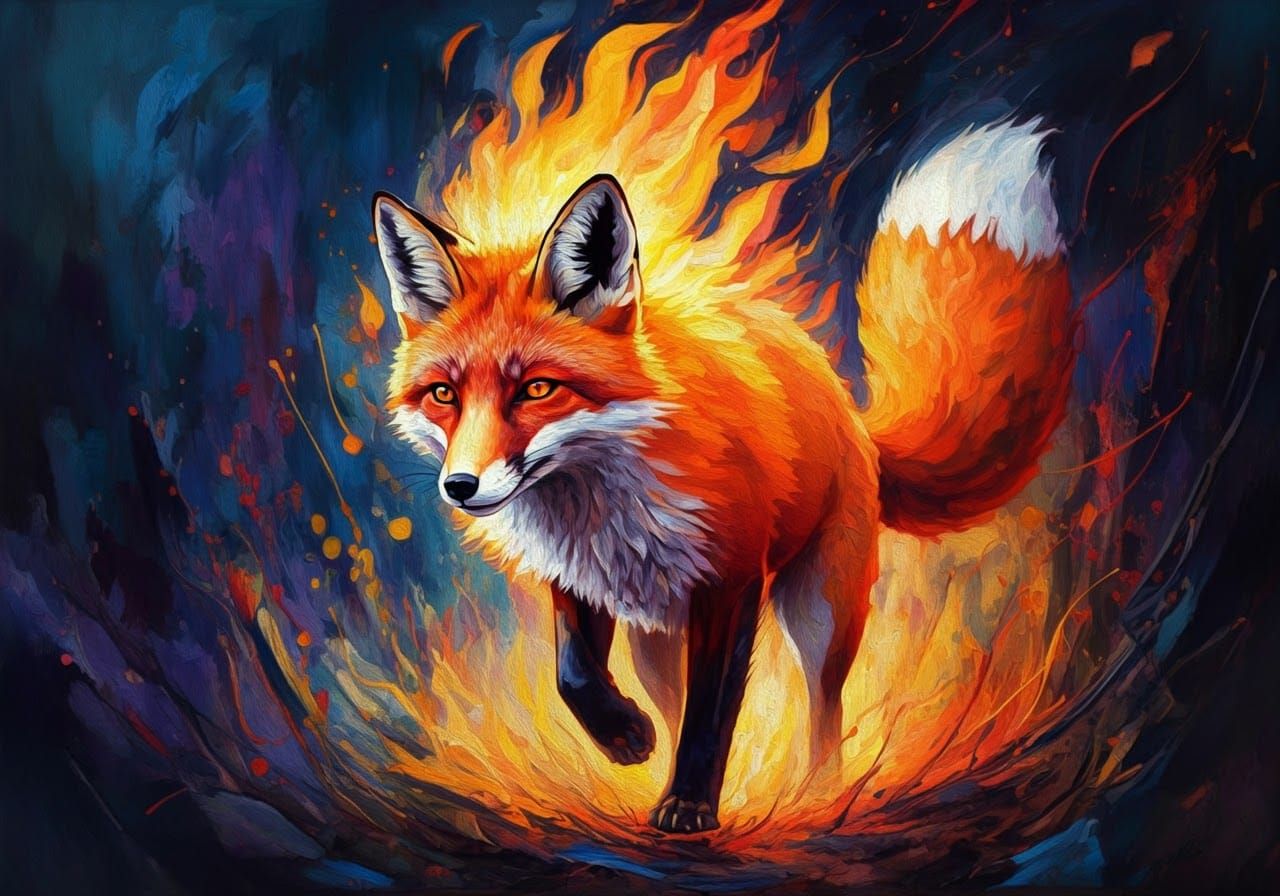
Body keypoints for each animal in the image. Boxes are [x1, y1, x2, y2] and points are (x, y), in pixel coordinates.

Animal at [375, 119, 1074, 834]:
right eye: (443, 395)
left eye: (537, 389)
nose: (460, 487)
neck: (602, 506)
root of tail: (851, 414)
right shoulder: (579, 581)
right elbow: (574, 675)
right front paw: (626, 736)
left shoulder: (733, 582)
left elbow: (712, 714)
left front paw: (689, 805)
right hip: (657, 638)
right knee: (674, 697)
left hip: (820, 611)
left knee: (825, 714)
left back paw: (815, 796)